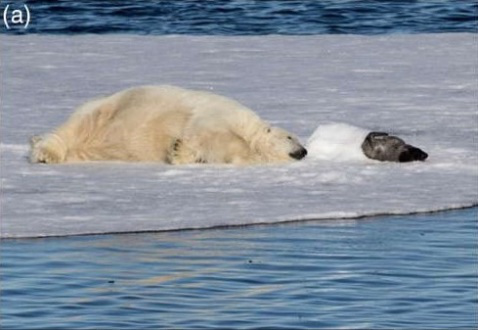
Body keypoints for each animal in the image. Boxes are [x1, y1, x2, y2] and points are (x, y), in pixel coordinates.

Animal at [29, 85, 306, 165]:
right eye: (292, 137)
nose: (304, 151)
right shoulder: (221, 113)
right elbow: (212, 134)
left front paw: (178, 152)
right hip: (104, 110)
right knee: (70, 129)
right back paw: (45, 152)